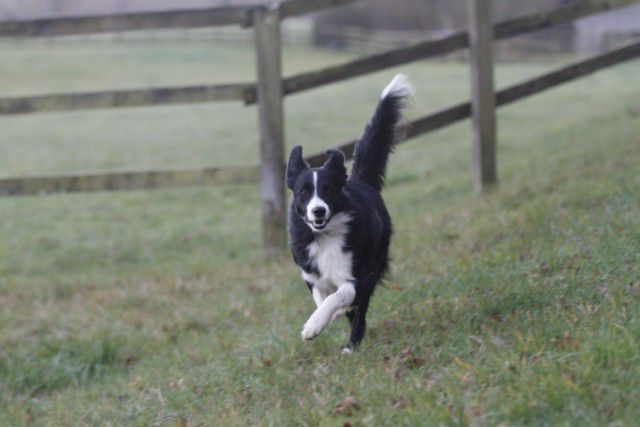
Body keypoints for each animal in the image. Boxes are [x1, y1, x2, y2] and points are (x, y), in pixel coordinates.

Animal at [286, 74, 413, 352]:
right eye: (303, 192)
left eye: (328, 189)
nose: (318, 211)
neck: (325, 236)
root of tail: (359, 181)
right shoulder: (311, 274)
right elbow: (323, 297)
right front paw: (323, 318)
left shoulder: (359, 274)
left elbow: (341, 295)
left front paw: (313, 326)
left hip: (376, 258)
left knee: (360, 310)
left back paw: (351, 346)